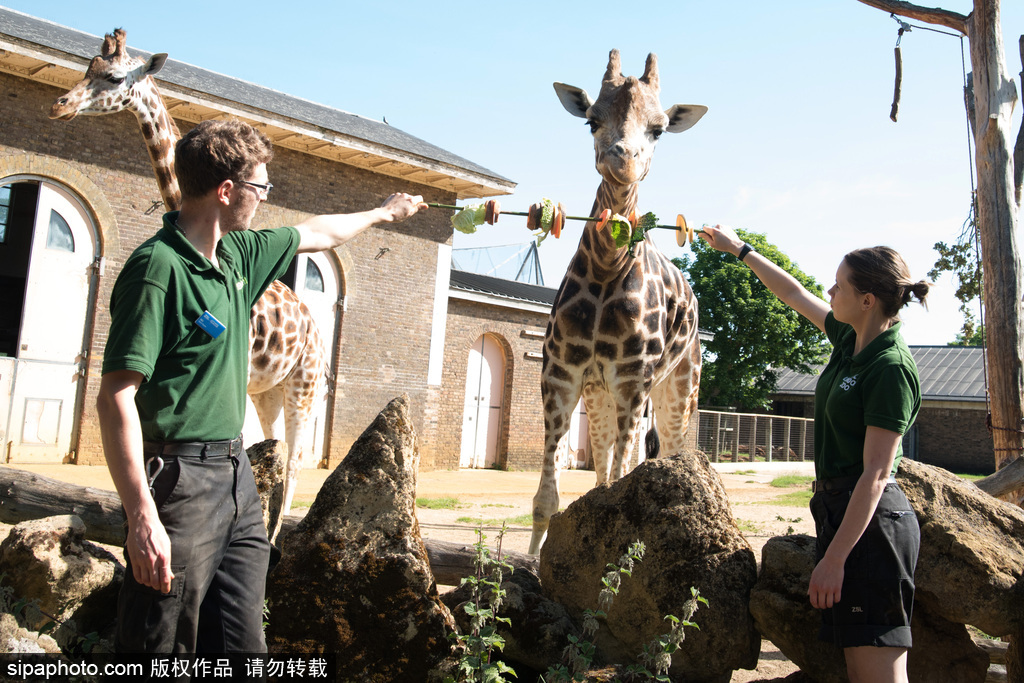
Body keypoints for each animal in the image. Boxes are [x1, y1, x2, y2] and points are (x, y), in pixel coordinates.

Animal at [49, 29, 325, 528]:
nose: (61, 105)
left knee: (295, 460)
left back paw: (276, 535)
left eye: (113, 77)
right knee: (277, 446)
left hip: (303, 383)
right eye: (87, 67)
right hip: (270, 390)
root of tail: (314, 329)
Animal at [532, 50, 708, 552]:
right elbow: (548, 500)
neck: (607, 269)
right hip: (601, 394)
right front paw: (529, 562)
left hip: (676, 391)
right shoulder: (562, 375)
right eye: (591, 121)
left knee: (666, 454)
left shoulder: (633, 380)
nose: (623, 160)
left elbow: (617, 486)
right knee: (607, 466)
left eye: (659, 129)